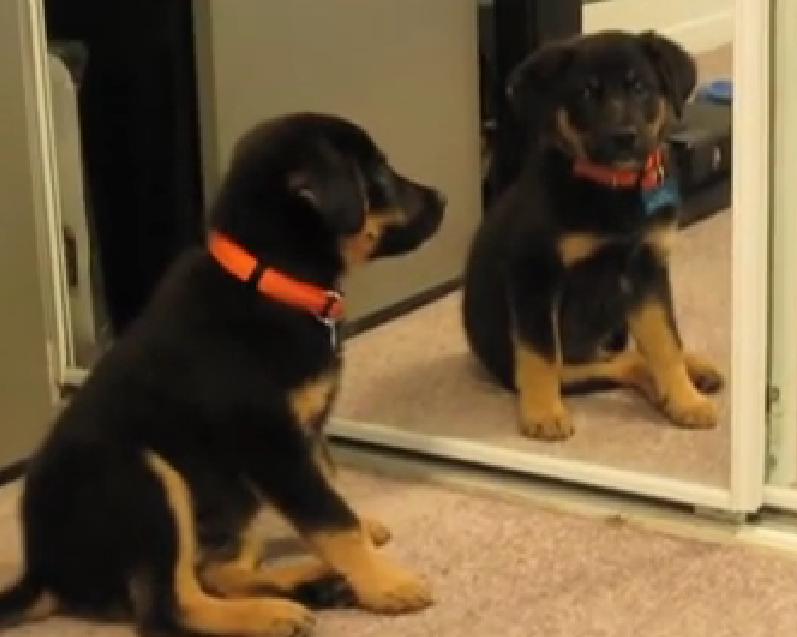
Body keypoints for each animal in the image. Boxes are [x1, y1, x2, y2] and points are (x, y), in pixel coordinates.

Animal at [0, 112, 444, 632]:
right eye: (377, 173)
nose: (443, 199)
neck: (272, 279)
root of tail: (43, 573)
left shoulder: (307, 433)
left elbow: (332, 491)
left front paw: (363, 553)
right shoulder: (274, 445)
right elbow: (333, 519)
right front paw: (385, 584)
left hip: (233, 501)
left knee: (218, 572)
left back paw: (311, 583)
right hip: (147, 477)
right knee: (172, 607)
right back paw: (271, 612)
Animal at [464, 29, 724, 438]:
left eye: (639, 87)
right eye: (586, 93)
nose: (624, 137)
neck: (611, 186)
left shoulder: (647, 270)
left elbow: (665, 342)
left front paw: (686, 400)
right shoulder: (532, 273)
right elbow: (540, 353)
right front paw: (543, 413)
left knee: (632, 354)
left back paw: (693, 370)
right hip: (563, 363)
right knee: (619, 364)